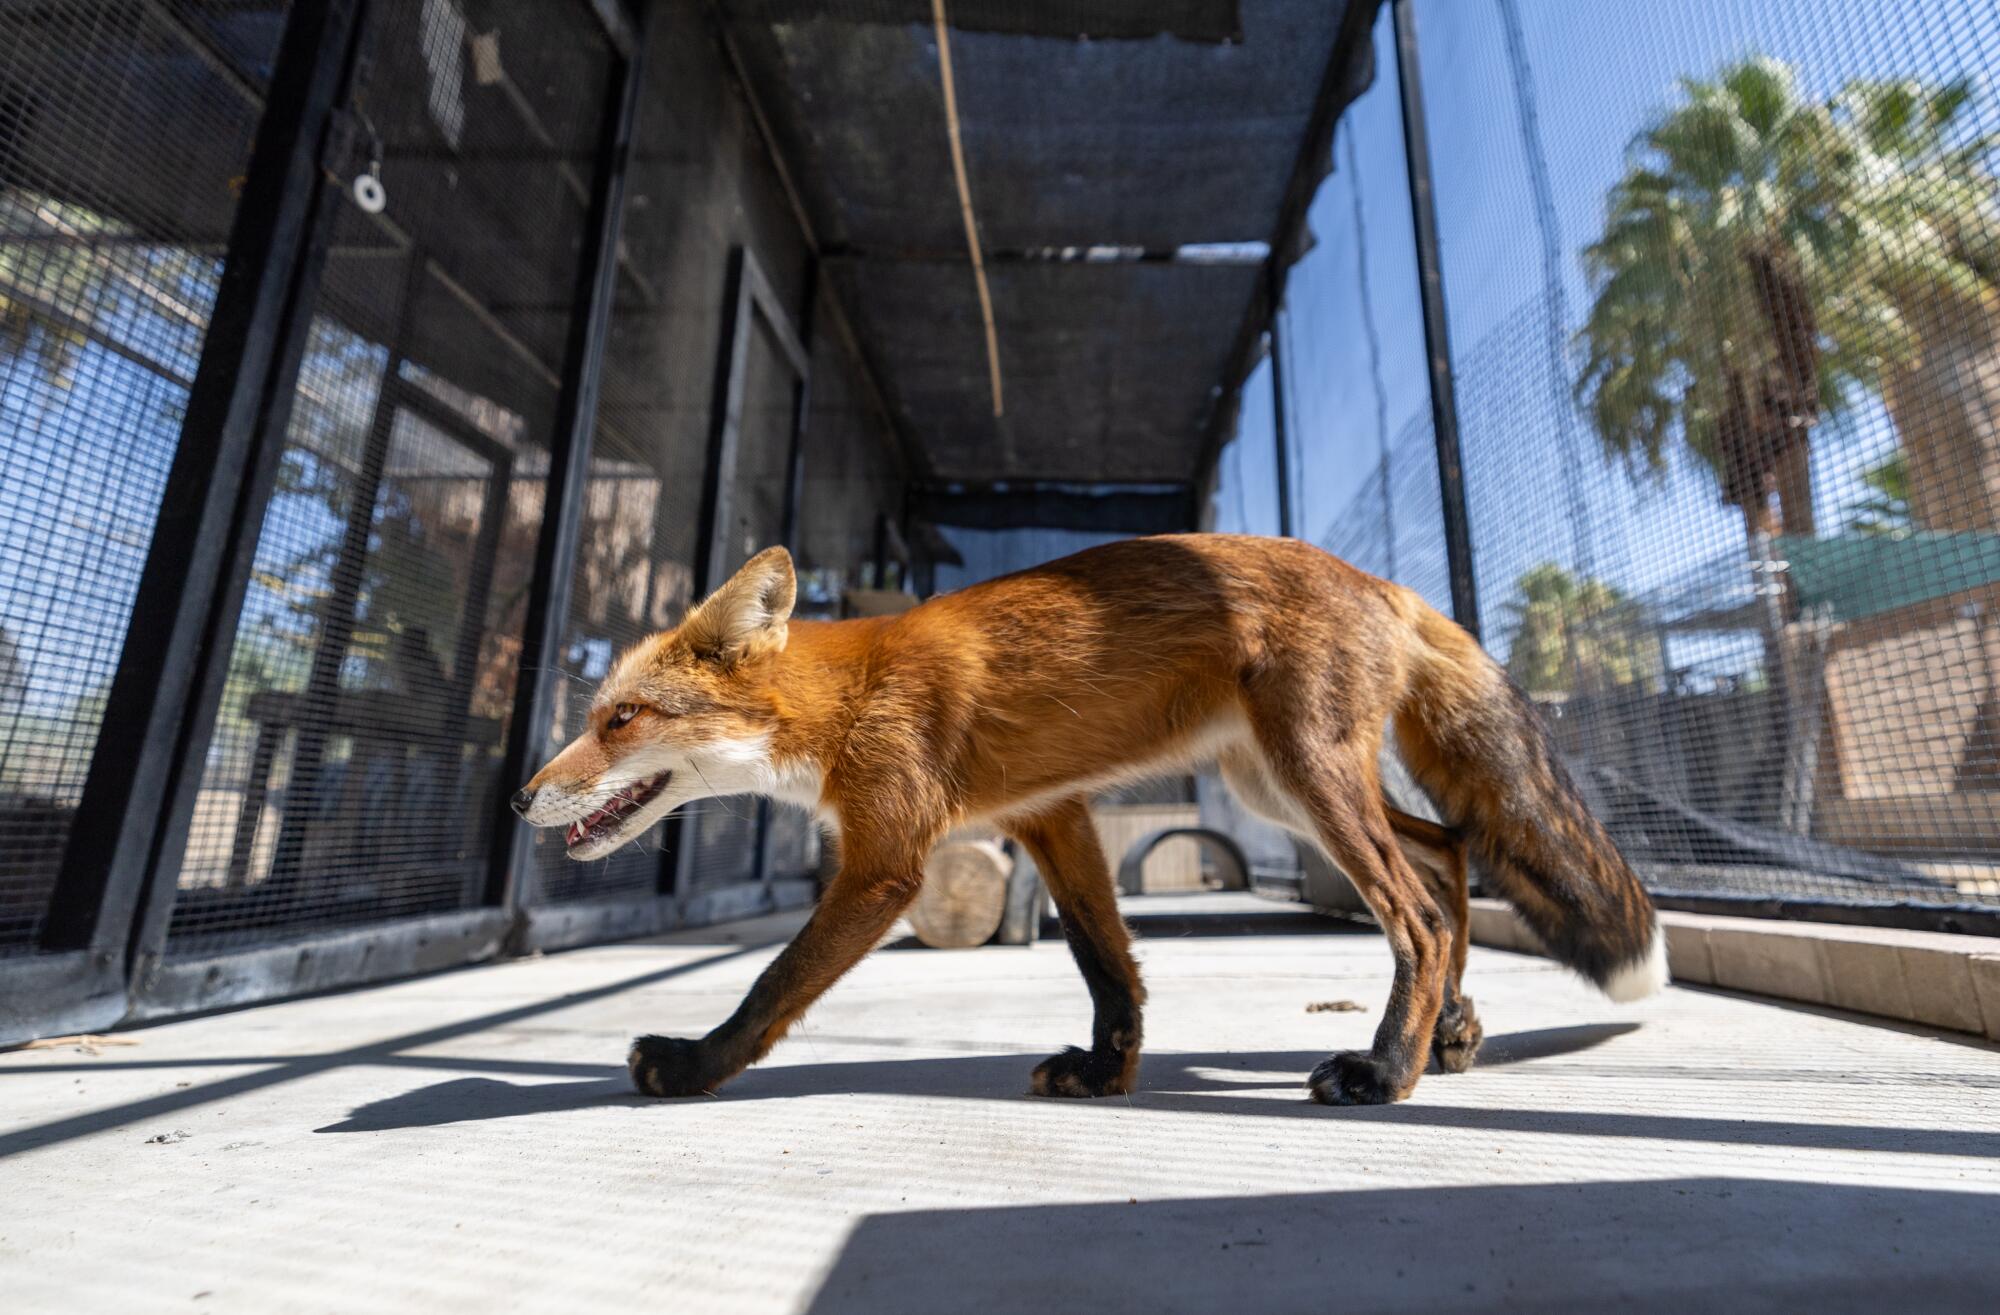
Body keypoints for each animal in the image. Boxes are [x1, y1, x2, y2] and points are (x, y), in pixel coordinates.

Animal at [508, 531, 1664, 1095]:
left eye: (619, 719)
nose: (519, 795)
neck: (845, 696)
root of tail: (1375, 577)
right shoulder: (1049, 816)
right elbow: (1107, 965)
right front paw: (1108, 1069)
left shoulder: (885, 862)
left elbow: (769, 986)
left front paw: (692, 1067)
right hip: (1277, 786)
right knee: (1447, 852)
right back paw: (1453, 1027)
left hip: (1306, 775)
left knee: (1414, 911)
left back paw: (1386, 1070)